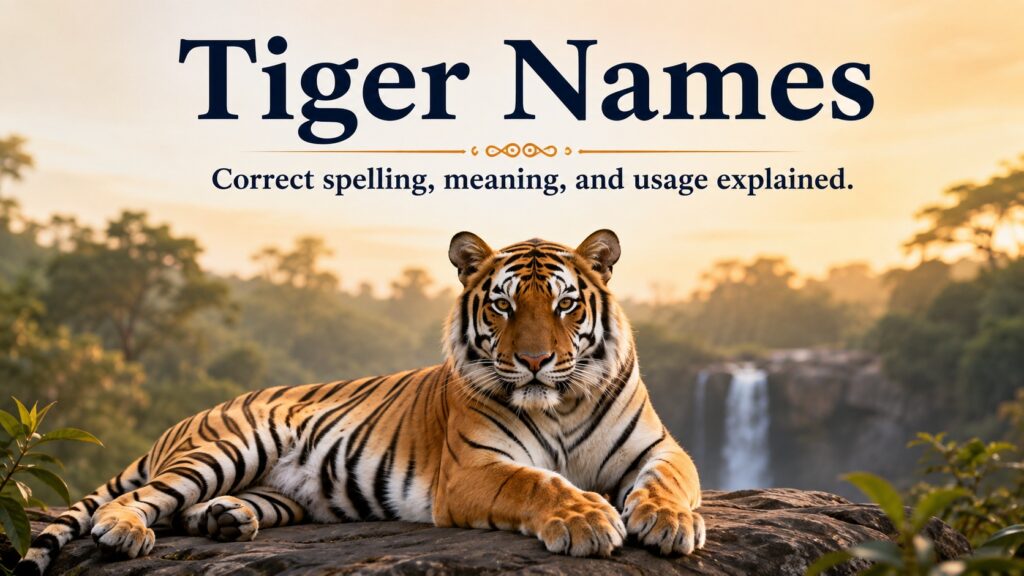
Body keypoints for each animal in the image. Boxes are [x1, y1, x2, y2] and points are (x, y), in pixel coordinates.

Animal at [16, 229, 705, 575]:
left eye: (565, 304)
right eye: (503, 305)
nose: (535, 361)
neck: (557, 404)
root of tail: (187, 419)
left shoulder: (659, 448)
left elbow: (668, 481)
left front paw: (670, 522)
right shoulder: (473, 469)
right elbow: (538, 483)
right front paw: (588, 519)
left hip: (281, 492)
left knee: (193, 509)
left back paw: (224, 521)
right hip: (228, 448)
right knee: (140, 499)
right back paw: (125, 531)